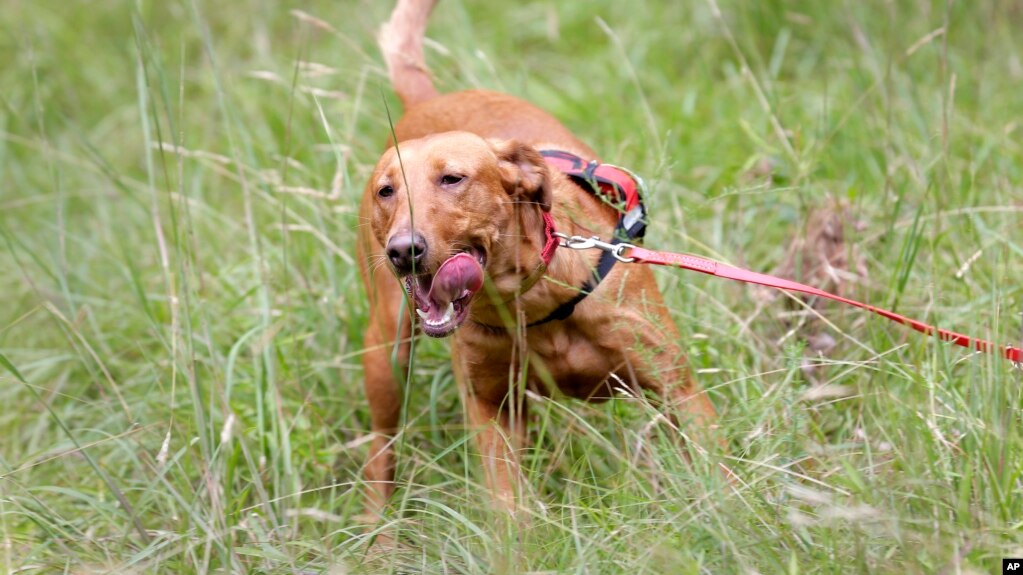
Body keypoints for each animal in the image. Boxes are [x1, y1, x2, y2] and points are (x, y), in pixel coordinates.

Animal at [356, 0, 724, 519]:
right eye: (385, 191)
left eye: (453, 179)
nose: (404, 250)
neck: (528, 302)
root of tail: (425, 102)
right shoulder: (493, 412)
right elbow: (510, 512)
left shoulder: (678, 388)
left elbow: (720, 473)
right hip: (386, 352)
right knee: (380, 454)